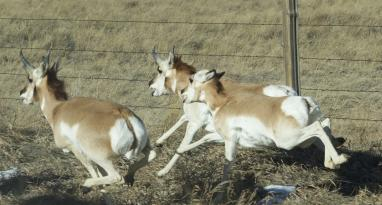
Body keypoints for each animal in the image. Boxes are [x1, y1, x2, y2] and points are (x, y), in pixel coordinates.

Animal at [18, 48, 156, 187]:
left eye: (30, 79)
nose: (21, 93)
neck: (58, 108)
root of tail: (124, 115)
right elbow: (98, 171)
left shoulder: (76, 150)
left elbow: (93, 170)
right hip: (143, 147)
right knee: (152, 154)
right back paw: (129, 176)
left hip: (100, 157)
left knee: (116, 177)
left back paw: (88, 183)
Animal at [149, 48, 328, 176]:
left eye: (159, 69)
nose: (150, 85)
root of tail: (291, 93)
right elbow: (179, 121)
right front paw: (158, 142)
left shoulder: (194, 124)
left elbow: (182, 144)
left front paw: (162, 171)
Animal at [181, 69, 350, 175]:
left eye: (191, 79)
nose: (182, 93)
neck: (223, 103)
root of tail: (304, 100)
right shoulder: (221, 137)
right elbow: (204, 139)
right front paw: (181, 151)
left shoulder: (229, 141)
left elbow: (227, 164)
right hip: (303, 141)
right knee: (324, 128)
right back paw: (333, 162)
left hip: (289, 141)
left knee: (319, 128)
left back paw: (339, 159)